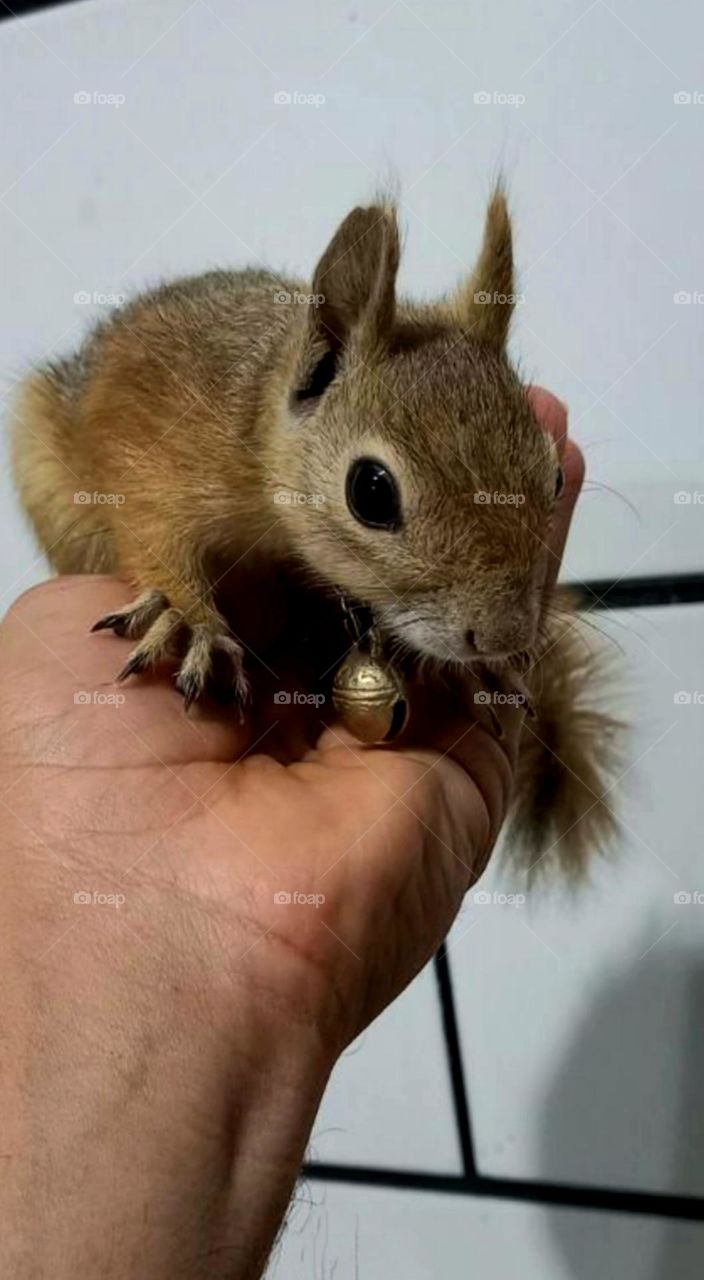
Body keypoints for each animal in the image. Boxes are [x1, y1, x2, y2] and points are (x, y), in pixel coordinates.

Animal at [10, 186, 623, 878]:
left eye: (553, 475)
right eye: (371, 492)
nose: (504, 635)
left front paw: (473, 671)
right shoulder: (149, 458)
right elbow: (150, 533)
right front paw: (187, 616)